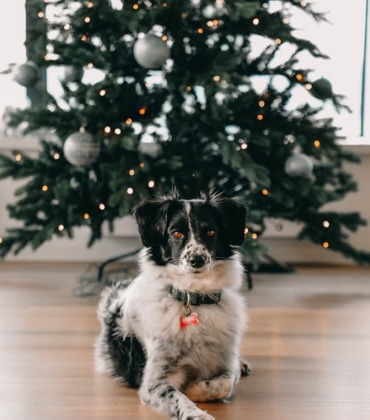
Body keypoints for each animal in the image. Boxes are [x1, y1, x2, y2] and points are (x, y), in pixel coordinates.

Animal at [95, 192, 251, 418]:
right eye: (176, 233)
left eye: (211, 231)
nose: (197, 260)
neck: (193, 297)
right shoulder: (154, 382)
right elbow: (178, 397)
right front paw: (196, 412)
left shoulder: (226, 363)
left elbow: (225, 384)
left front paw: (195, 389)